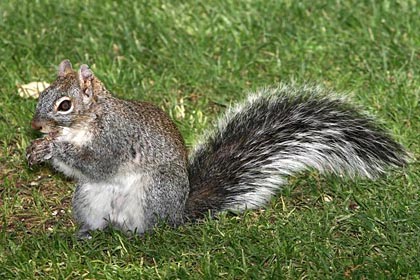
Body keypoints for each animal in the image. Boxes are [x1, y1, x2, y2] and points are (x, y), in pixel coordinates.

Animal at [26, 60, 406, 237]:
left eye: (64, 105)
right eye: (42, 94)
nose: (36, 126)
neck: (86, 123)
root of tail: (179, 212)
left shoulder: (116, 138)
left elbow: (98, 162)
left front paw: (52, 148)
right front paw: (38, 148)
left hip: (154, 193)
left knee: (150, 227)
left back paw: (139, 235)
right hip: (89, 198)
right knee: (101, 222)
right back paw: (88, 233)